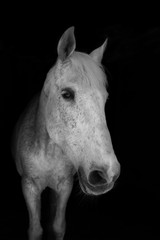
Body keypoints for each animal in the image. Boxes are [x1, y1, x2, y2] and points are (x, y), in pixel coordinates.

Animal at [12, 26, 120, 240]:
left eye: (105, 99)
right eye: (67, 94)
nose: (107, 174)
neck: (48, 150)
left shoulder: (65, 185)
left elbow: (58, 225)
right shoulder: (29, 186)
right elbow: (35, 229)